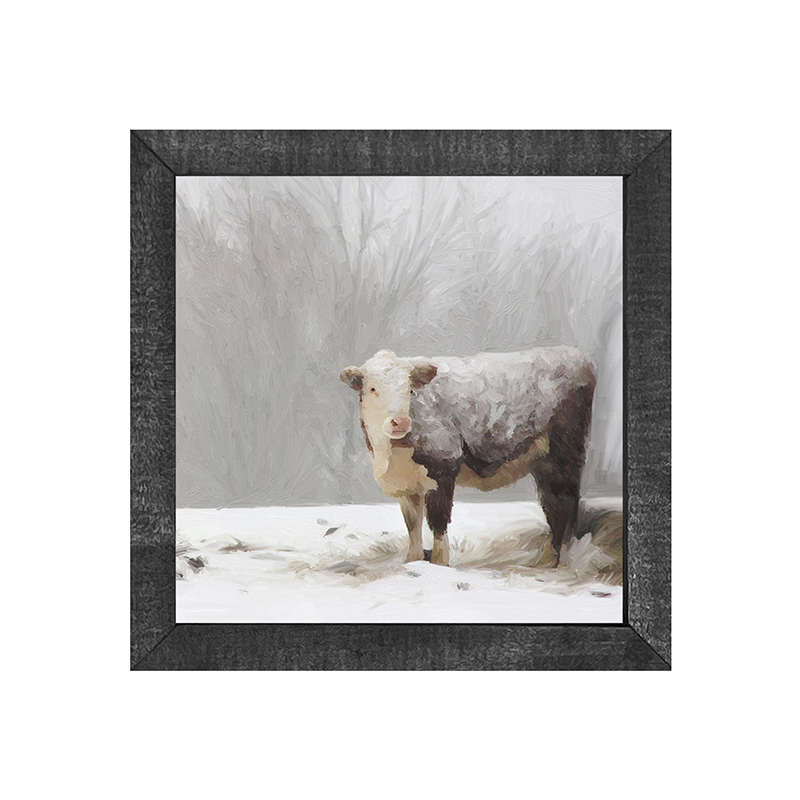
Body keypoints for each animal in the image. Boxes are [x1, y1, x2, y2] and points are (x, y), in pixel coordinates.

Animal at [340, 347, 596, 567]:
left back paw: (550, 560)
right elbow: (413, 526)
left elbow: (438, 523)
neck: (391, 455)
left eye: (409, 390)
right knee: (561, 503)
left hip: (563, 453)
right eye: (373, 389)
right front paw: (412, 561)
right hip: (546, 461)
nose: (400, 422)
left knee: (561, 503)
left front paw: (439, 564)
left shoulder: (442, 468)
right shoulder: (407, 486)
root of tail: (574, 353)